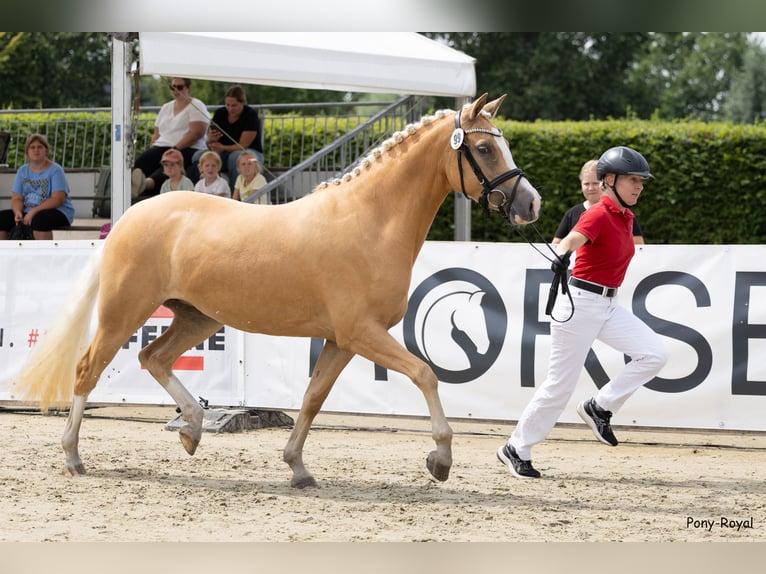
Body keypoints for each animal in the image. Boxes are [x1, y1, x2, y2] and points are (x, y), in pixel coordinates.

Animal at [14, 93, 541, 488]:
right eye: (486, 149)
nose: (531, 204)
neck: (370, 221)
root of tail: (129, 217)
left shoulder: (339, 341)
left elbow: (312, 399)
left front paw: (298, 468)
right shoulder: (362, 334)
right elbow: (426, 375)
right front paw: (440, 460)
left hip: (197, 316)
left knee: (153, 358)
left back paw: (192, 429)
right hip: (125, 310)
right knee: (88, 369)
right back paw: (73, 456)